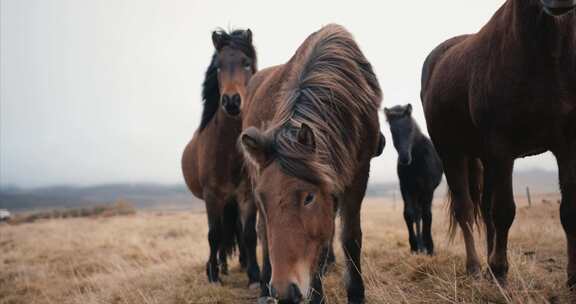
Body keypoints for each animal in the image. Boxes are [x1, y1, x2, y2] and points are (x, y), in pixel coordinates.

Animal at [181, 28, 260, 288]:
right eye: (218, 67)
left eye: (246, 63)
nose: (232, 101)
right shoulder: (212, 196)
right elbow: (213, 235)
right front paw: (213, 274)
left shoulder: (246, 195)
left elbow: (249, 234)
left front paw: (255, 276)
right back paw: (221, 268)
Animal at [241, 24, 384, 304]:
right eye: (264, 198)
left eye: (309, 197)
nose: (284, 291)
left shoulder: (356, 176)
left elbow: (348, 238)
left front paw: (356, 293)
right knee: (262, 232)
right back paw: (262, 286)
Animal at [384, 104, 444, 254]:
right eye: (393, 131)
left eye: (410, 129)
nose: (405, 158)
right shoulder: (406, 188)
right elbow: (409, 214)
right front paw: (414, 246)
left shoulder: (428, 188)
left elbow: (427, 215)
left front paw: (430, 247)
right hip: (415, 192)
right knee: (417, 213)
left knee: (422, 213)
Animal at [418, 0, 576, 288]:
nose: (560, 2)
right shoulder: (503, 148)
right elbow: (504, 211)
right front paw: (500, 270)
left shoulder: (567, 145)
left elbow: (569, 210)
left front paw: (572, 277)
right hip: (453, 154)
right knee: (466, 209)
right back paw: (475, 267)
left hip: (486, 158)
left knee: (485, 209)